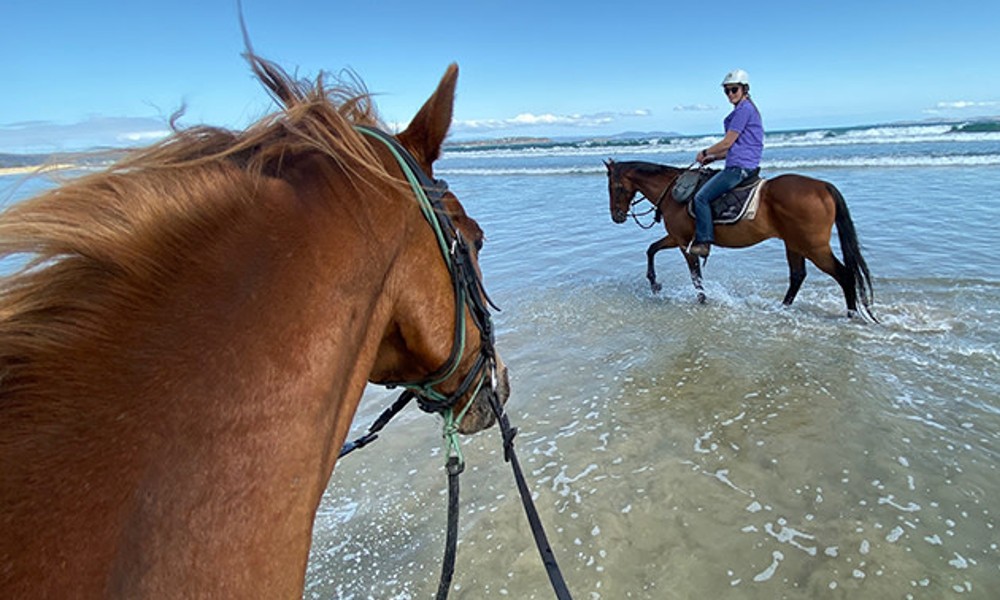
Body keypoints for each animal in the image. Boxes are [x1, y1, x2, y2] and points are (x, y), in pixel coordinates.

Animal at [600, 157, 876, 322]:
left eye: (614, 187)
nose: (616, 216)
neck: (672, 193)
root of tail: (823, 187)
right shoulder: (677, 238)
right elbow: (651, 249)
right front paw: (655, 284)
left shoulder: (684, 243)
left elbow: (694, 275)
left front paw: (702, 300)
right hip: (794, 243)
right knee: (798, 276)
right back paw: (782, 309)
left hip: (813, 246)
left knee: (844, 275)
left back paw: (850, 315)